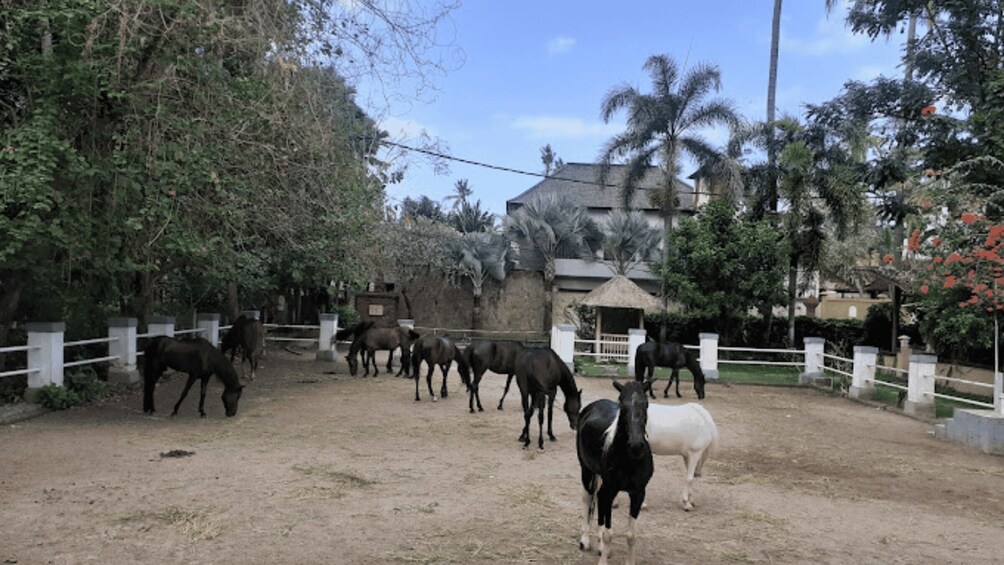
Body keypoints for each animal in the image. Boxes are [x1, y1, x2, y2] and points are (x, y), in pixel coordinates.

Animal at [578, 379, 654, 565]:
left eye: (646, 404)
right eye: (622, 406)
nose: (636, 445)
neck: (629, 459)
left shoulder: (638, 493)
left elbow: (631, 535)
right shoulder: (610, 490)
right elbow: (608, 534)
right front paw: (602, 560)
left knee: (598, 500)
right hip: (586, 470)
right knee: (587, 499)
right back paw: (585, 541)